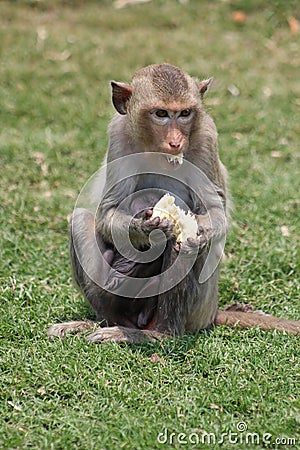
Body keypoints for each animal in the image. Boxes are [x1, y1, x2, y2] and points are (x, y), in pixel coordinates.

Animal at [48, 64, 298, 342]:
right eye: (161, 114)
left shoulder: (207, 136)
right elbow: (106, 213)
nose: (176, 141)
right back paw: (106, 317)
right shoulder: (119, 136)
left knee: (186, 249)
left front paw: (198, 231)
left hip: (198, 310)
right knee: (80, 219)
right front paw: (145, 227)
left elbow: (214, 212)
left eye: (185, 113)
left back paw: (158, 333)